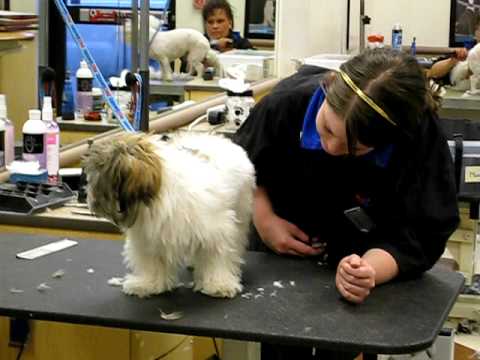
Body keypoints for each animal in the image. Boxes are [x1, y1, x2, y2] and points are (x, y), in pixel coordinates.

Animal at [82, 132, 255, 298]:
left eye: (96, 175)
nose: (87, 196)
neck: (157, 195)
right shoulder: (149, 239)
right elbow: (152, 262)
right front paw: (148, 284)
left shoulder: (216, 232)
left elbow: (216, 257)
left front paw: (219, 285)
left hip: (241, 210)